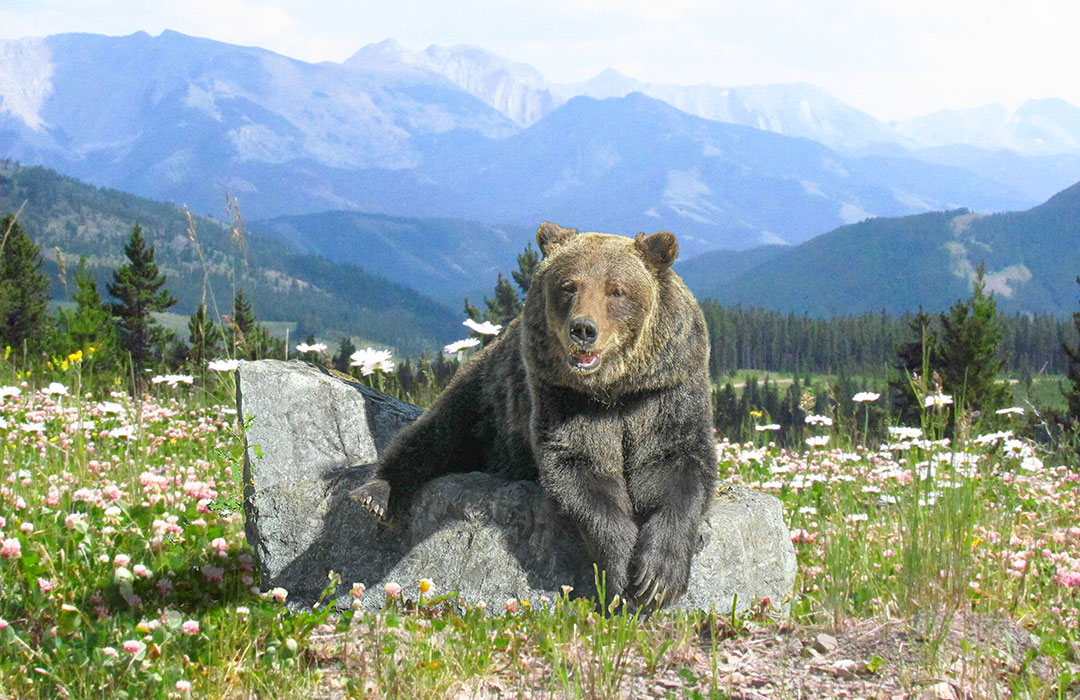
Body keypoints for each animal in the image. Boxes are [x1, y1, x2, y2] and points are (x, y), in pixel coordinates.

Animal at [354, 222, 717, 604]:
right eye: (568, 285)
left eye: (617, 290)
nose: (583, 329)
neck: (612, 389)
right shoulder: (562, 396)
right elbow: (580, 470)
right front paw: (620, 571)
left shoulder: (662, 392)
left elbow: (675, 465)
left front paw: (656, 577)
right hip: (486, 399)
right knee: (435, 434)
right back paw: (377, 494)